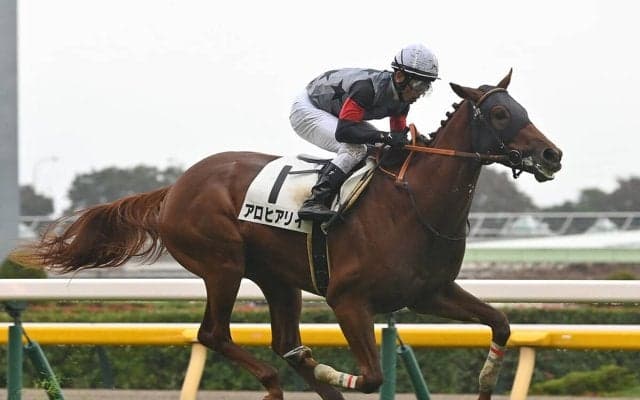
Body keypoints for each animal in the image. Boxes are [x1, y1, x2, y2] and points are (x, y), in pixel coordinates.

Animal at [17, 70, 562, 400]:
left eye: (522, 107)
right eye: (499, 113)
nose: (552, 155)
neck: (413, 203)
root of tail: (176, 187)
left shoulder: (429, 293)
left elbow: (501, 323)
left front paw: (488, 381)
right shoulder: (348, 299)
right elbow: (371, 376)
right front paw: (328, 370)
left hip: (278, 279)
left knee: (283, 342)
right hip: (221, 265)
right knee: (216, 334)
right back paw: (278, 378)